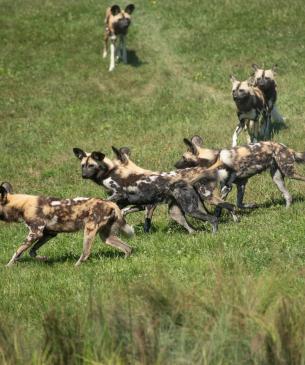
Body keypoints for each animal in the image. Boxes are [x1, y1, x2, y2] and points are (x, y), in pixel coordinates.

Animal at [0, 181, 133, 264]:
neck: (22, 205)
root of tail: (108, 202)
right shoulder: (49, 234)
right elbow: (32, 252)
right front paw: (43, 258)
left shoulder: (35, 233)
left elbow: (17, 251)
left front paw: (8, 266)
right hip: (106, 236)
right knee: (128, 248)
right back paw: (125, 260)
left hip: (89, 231)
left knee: (86, 253)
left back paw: (76, 267)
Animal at [73, 147, 238, 235]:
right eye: (82, 165)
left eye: (92, 165)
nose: (83, 175)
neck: (111, 172)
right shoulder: (128, 203)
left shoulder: (123, 197)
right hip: (178, 212)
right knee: (196, 227)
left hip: (194, 207)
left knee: (216, 217)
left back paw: (215, 233)